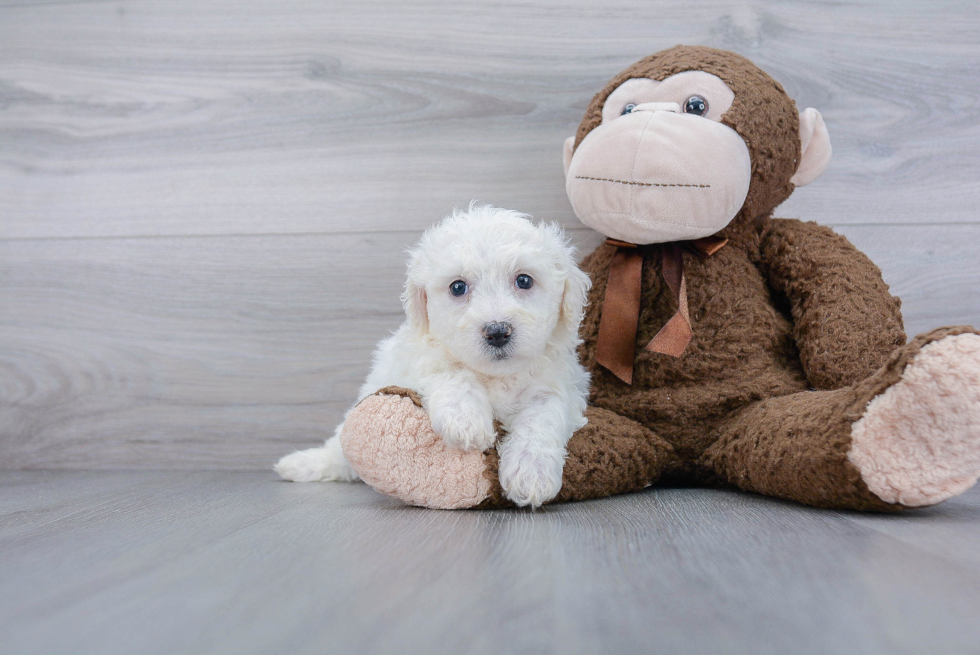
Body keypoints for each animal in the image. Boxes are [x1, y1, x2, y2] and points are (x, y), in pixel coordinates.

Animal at [280, 205, 592, 508]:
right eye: (458, 287)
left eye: (524, 280)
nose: (497, 331)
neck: (494, 375)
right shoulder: (419, 358)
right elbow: (451, 372)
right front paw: (466, 421)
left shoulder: (556, 386)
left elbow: (542, 418)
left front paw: (530, 473)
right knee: (337, 450)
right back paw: (302, 464)